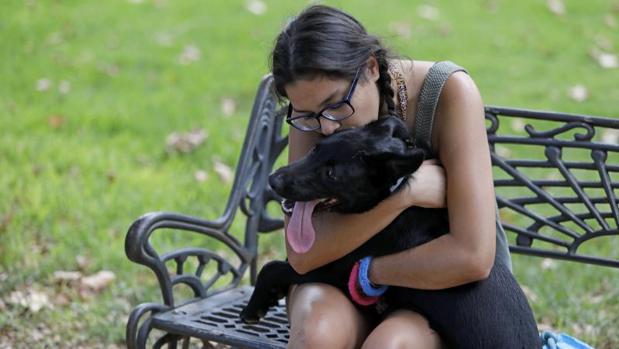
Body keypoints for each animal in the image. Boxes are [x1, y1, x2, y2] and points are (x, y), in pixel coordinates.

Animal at [240, 115, 540, 346]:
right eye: (316, 149)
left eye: (332, 174)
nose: (274, 180)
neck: (394, 189)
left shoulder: (337, 269)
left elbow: (274, 266)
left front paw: (254, 307)